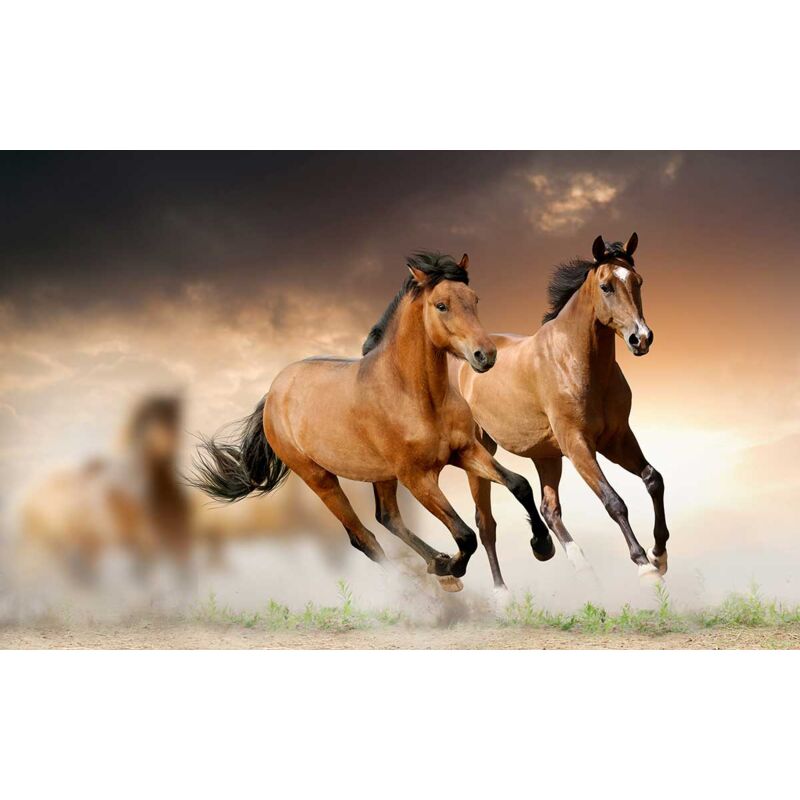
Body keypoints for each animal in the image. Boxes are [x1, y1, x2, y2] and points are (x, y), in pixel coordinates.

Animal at [190, 252, 554, 592]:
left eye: (474, 299)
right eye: (441, 305)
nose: (486, 355)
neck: (417, 396)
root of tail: (273, 393)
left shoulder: (465, 451)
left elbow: (519, 484)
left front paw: (542, 546)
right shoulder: (417, 477)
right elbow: (465, 535)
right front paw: (452, 567)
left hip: (381, 475)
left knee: (387, 517)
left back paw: (436, 564)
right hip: (320, 478)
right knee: (363, 537)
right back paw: (426, 582)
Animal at [458, 233, 670, 590]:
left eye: (638, 281)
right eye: (606, 286)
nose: (641, 338)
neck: (574, 361)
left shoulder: (617, 439)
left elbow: (654, 480)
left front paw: (660, 554)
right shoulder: (578, 445)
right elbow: (614, 501)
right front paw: (644, 565)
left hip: (545, 455)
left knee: (548, 508)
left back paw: (575, 563)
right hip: (480, 453)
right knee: (486, 524)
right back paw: (502, 592)